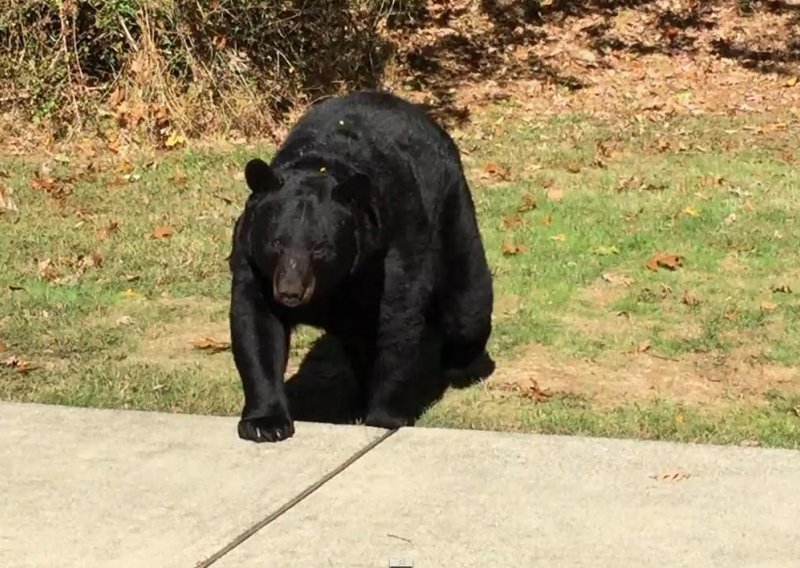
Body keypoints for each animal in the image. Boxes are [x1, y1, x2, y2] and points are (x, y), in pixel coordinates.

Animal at [228, 91, 494, 442]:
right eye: (275, 243)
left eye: (320, 247)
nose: (290, 292)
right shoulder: (253, 261)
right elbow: (257, 326)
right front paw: (264, 423)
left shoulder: (389, 250)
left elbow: (396, 321)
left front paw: (384, 416)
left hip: (453, 213)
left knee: (467, 306)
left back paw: (457, 361)